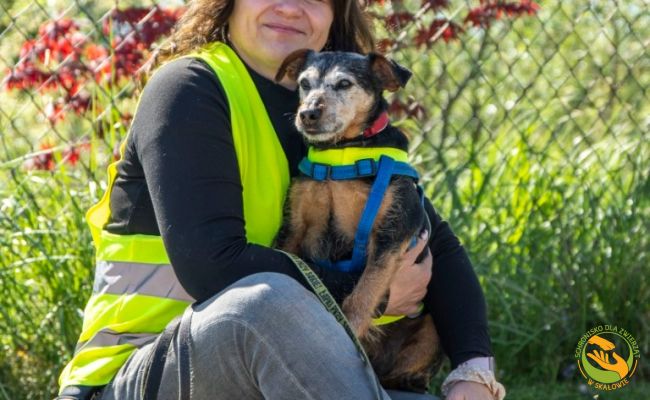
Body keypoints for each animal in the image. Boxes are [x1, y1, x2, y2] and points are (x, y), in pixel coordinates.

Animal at [274, 49, 442, 392]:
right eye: (304, 83)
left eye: (344, 83)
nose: (308, 114)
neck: (341, 154)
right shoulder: (294, 228)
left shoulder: (392, 233)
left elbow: (364, 291)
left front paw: (349, 326)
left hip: (431, 331)